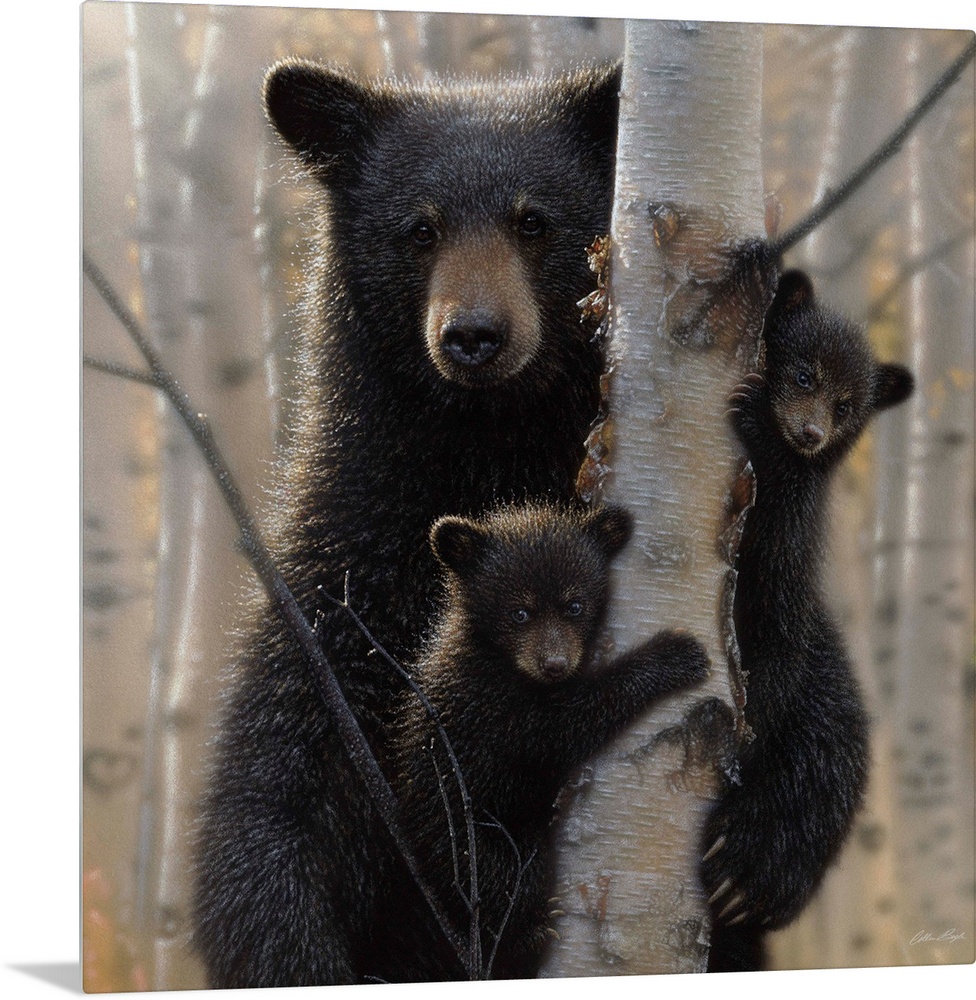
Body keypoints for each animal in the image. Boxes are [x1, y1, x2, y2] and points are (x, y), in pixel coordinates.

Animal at [190, 62, 616, 992]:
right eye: (419, 230)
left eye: (534, 220)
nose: (475, 335)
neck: (489, 455)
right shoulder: (345, 581)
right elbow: (273, 801)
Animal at [366, 504, 708, 980]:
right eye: (519, 613)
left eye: (574, 605)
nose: (554, 663)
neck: (499, 659)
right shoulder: (488, 704)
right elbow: (560, 727)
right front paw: (674, 655)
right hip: (464, 833)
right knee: (496, 877)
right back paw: (526, 932)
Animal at [700, 272, 916, 968]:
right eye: (802, 374)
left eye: (847, 405)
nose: (811, 434)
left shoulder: (788, 555)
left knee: (823, 770)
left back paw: (744, 873)